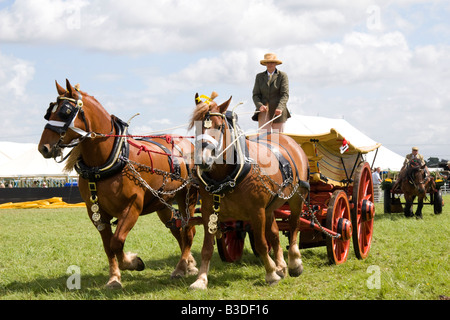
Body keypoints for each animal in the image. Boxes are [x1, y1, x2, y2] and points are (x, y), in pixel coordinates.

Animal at [37, 80, 200, 290]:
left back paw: (181, 267)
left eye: (65, 111)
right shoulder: (96, 212)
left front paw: (133, 262)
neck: (108, 159)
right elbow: (108, 246)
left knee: (188, 231)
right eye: (49, 112)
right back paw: (189, 264)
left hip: (188, 197)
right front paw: (114, 278)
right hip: (163, 204)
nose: (44, 148)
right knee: (177, 229)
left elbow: (117, 241)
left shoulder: (132, 207)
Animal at [188, 92, 312, 290]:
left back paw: (294, 262)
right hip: (270, 207)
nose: (203, 160)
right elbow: (207, 248)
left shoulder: (257, 212)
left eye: (219, 126)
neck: (227, 176)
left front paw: (270, 274)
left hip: (297, 197)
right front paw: (200, 279)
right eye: (196, 126)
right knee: (274, 234)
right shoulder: (209, 213)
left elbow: (261, 244)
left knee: (294, 226)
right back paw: (281, 265)